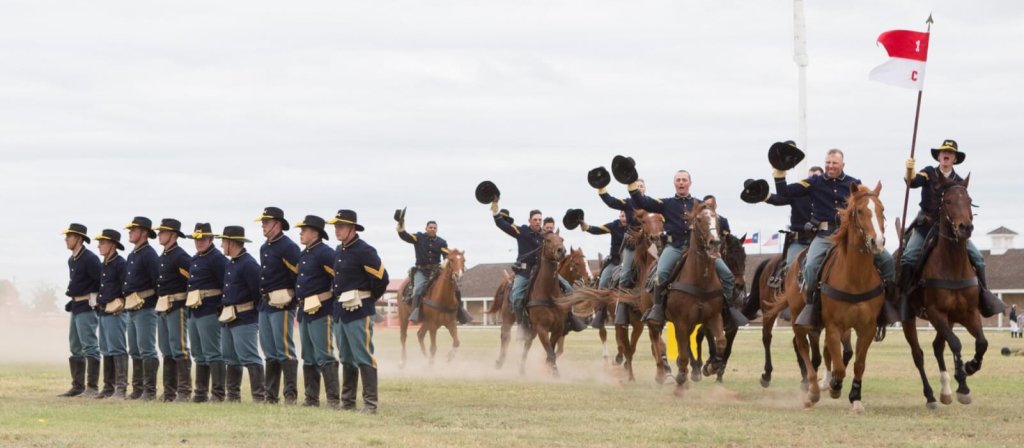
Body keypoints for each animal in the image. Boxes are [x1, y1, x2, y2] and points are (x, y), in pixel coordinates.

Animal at [901, 173, 987, 409]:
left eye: (969, 201)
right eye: (947, 201)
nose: (965, 227)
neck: (953, 265)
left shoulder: (967, 313)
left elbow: (982, 342)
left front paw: (970, 367)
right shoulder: (935, 312)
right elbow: (956, 343)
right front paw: (963, 383)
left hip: (948, 319)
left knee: (937, 346)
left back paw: (945, 391)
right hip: (909, 318)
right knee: (918, 354)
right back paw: (931, 396)